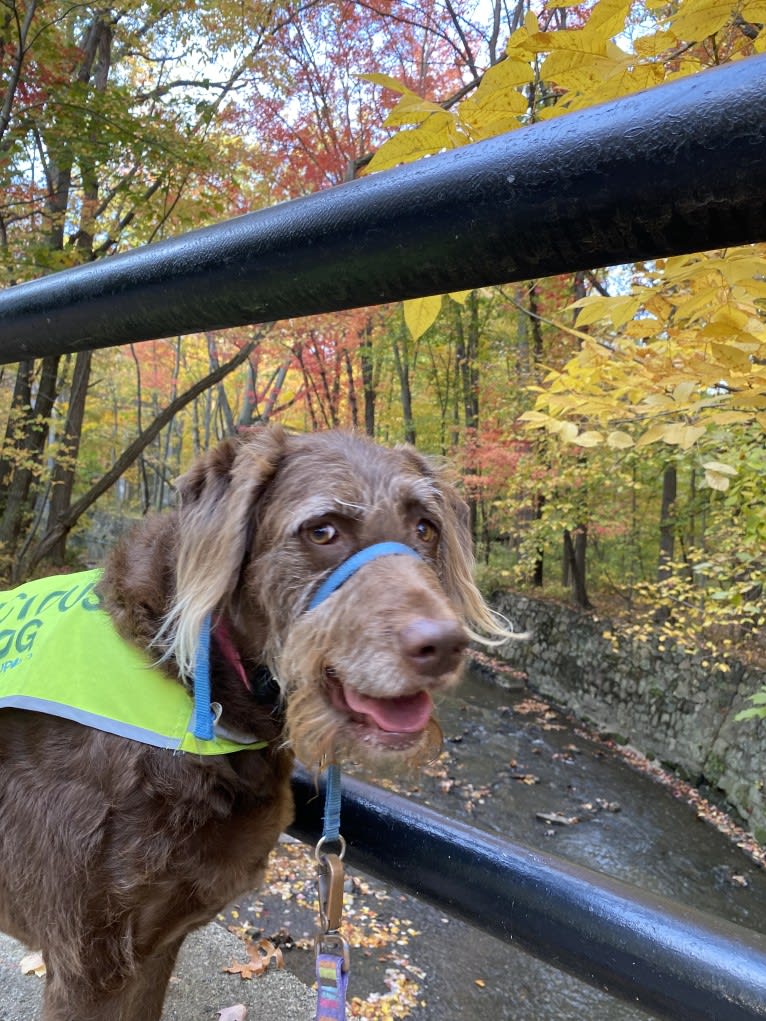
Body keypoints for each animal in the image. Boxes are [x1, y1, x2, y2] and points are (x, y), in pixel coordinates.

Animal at [0, 424, 504, 1021]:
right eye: (323, 530)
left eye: (426, 528)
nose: (447, 645)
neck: (194, 683)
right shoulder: (88, 963)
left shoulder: (154, 945)